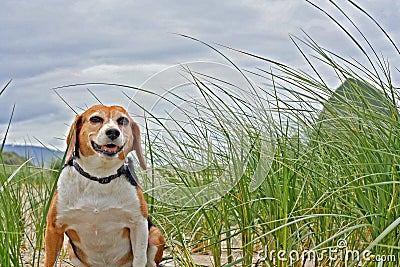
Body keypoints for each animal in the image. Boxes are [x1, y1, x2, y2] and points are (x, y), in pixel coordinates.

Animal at [46, 105, 165, 267]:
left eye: (123, 120)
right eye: (95, 119)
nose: (113, 132)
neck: (99, 177)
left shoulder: (139, 224)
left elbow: (139, 257)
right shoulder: (53, 228)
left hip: (155, 235)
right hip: (71, 250)